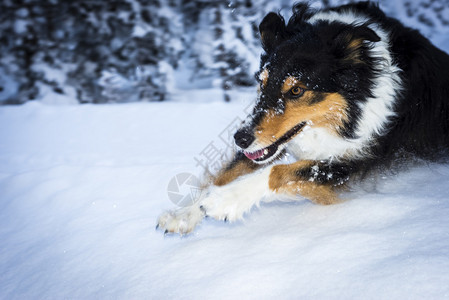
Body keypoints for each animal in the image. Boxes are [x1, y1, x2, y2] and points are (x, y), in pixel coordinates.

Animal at [157, 1, 448, 234]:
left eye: (296, 90)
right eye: (261, 83)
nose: (240, 139)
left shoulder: (351, 166)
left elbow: (279, 172)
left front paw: (225, 200)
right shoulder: (267, 144)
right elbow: (226, 172)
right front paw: (185, 214)